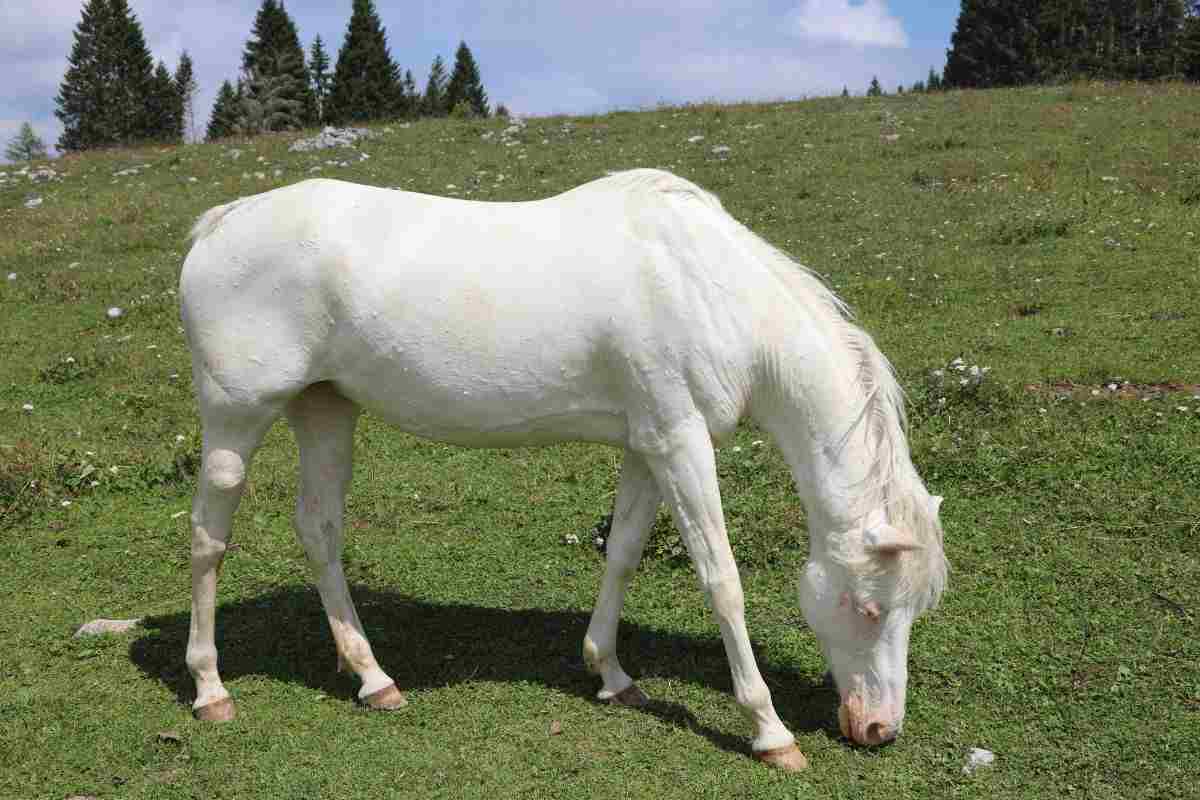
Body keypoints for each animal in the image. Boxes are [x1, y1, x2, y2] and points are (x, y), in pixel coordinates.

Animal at [179, 169, 947, 771]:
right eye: (871, 608)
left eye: (912, 609)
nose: (879, 729)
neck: (707, 288)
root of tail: (221, 225)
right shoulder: (682, 443)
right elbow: (722, 580)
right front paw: (770, 731)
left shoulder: (647, 445)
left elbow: (625, 553)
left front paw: (610, 672)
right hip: (235, 422)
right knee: (208, 539)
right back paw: (211, 689)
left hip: (326, 411)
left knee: (319, 531)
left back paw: (371, 675)